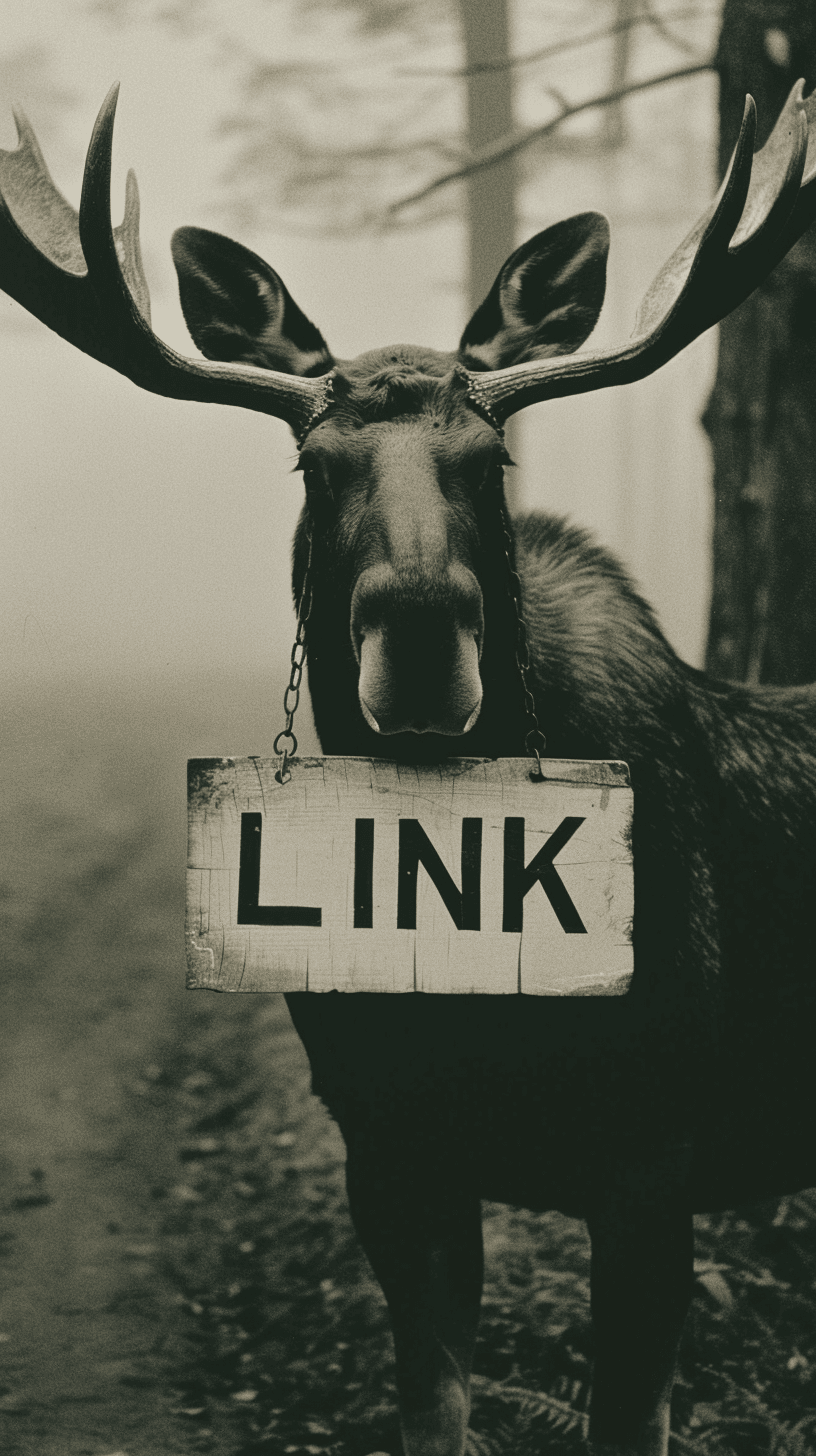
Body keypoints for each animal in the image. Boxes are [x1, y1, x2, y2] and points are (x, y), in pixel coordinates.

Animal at [2, 81, 816, 1456]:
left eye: (492, 459)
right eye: (311, 465)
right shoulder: (385, 1144)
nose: (424, 635)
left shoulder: (656, 1149)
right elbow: (430, 1410)